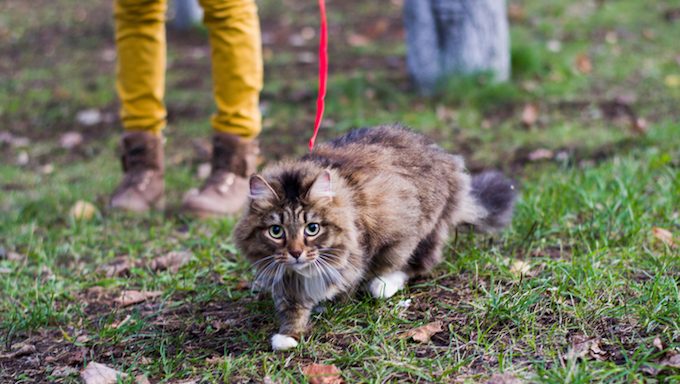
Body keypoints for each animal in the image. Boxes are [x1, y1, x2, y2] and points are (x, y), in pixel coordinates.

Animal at [234, 125, 516, 352]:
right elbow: (293, 306)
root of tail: (446, 158)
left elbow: (360, 272)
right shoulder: (285, 277)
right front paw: (289, 334)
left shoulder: (385, 234)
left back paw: (383, 285)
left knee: (418, 264)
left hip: (427, 227)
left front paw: (340, 296)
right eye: (276, 231)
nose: (295, 253)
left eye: (312, 228)